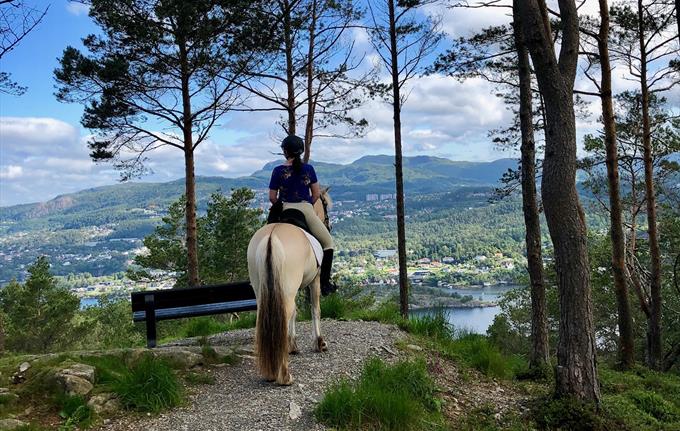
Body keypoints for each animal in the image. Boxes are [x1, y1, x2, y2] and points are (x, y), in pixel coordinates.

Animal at [247, 191, 332, 386]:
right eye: (325, 204)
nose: (329, 224)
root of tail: (271, 238)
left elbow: (295, 312)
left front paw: (293, 346)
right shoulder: (314, 280)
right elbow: (315, 310)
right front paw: (319, 343)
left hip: (262, 288)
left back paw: (270, 372)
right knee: (286, 314)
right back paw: (284, 376)